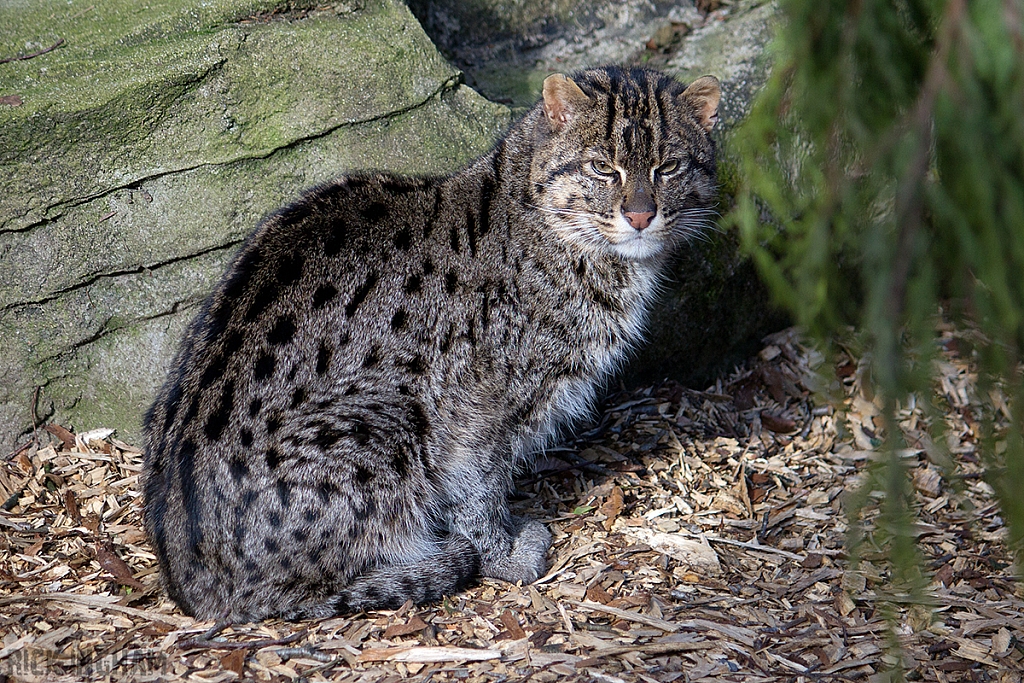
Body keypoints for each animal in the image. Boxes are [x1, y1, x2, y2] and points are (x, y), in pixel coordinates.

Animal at [142, 65, 720, 618]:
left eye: (668, 168)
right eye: (603, 168)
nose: (641, 215)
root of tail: (187, 581)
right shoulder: (481, 411)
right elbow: (480, 494)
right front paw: (504, 556)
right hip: (388, 415)